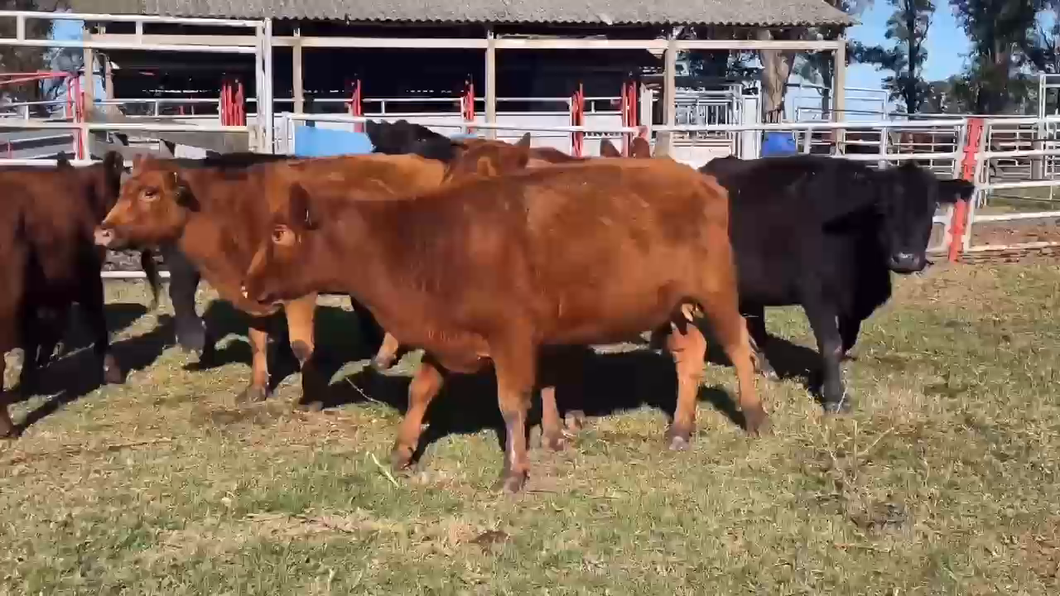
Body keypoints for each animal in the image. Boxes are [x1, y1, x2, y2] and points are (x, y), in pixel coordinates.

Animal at [0, 150, 163, 434]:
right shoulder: (86, 277)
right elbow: (97, 325)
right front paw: (113, 373)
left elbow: (37, 337)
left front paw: (28, 379)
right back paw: (8, 428)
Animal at [92, 151, 451, 407]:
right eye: (124, 189)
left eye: (150, 192)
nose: (102, 231)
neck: (236, 212)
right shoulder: (250, 291)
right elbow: (257, 339)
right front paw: (256, 387)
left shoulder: (301, 293)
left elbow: (302, 346)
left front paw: (312, 397)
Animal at [699, 155, 970, 411]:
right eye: (881, 210)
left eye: (931, 207)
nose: (905, 258)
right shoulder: (816, 296)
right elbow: (831, 344)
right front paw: (834, 399)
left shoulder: (855, 307)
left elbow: (844, 343)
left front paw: (819, 380)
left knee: (754, 323)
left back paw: (765, 367)